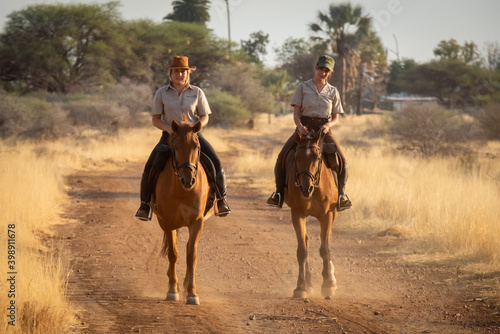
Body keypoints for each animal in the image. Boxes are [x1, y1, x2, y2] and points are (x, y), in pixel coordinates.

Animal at [154, 120, 213, 306]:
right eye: (175, 147)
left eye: (197, 146)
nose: (188, 179)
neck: (181, 189)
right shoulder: (167, 222)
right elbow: (173, 254)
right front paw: (172, 290)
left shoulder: (197, 222)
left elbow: (191, 256)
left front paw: (192, 293)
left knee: (188, 249)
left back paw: (187, 284)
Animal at [286, 130, 340, 300]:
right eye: (297, 157)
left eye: (317, 157)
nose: (305, 188)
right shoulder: (297, 214)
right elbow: (302, 250)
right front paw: (300, 287)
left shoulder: (327, 215)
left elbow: (325, 249)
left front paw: (328, 284)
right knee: (307, 242)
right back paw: (309, 283)